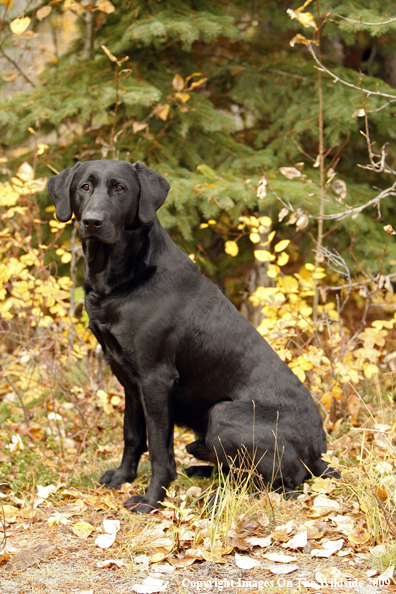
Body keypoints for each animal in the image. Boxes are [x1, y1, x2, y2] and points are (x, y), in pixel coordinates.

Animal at [48, 160, 334, 512]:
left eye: (120, 188)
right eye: (84, 187)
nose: (92, 221)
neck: (124, 280)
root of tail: (318, 453)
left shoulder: (156, 379)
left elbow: (159, 448)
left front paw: (152, 499)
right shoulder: (129, 379)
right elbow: (132, 435)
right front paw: (123, 477)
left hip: (224, 415)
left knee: (278, 482)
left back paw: (216, 496)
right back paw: (202, 469)